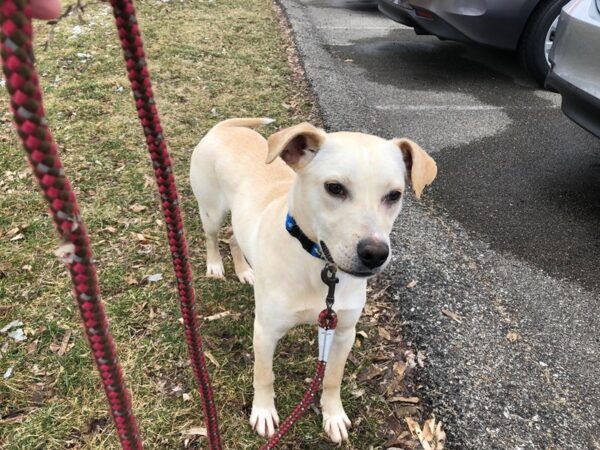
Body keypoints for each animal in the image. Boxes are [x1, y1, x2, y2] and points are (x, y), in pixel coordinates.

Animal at [190, 118, 438, 444]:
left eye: (394, 195)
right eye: (334, 188)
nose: (375, 253)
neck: (319, 265)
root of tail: (226, 126)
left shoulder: (341, 330)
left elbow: (332, 377)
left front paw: (333, 415)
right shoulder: (265, 331)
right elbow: (264, 375)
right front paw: (264, 412)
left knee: (234, 238)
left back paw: (244, 271)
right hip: (211, 210)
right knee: (211, 236)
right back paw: (215, 265)